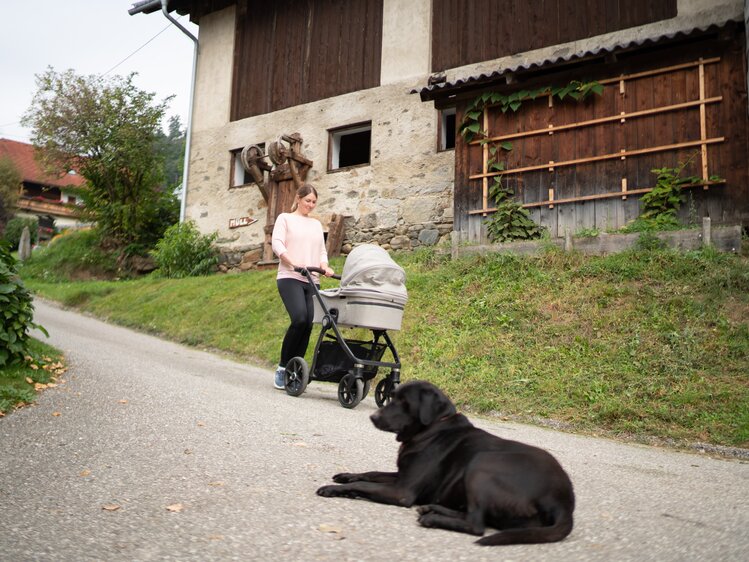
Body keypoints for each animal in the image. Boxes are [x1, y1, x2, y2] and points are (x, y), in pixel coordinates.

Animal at [316, 380, 572, 544]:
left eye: (404, 403)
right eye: (392, 397)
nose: (373, 417)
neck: (432, 428)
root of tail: (563, 501)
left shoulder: (402, 491)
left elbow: (365, 485)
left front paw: (333, 489)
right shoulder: (401, 475)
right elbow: (370, 473)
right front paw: (345, 476)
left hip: (482, 465)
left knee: (477, 525)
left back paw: (432, 517)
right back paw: (432, 508)